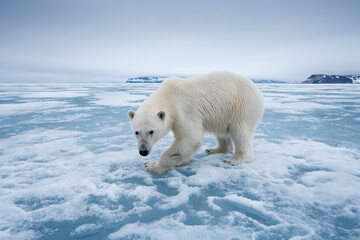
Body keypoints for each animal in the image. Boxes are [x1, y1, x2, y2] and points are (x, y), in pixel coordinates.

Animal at [128, 71, 262, 174]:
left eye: (151, 131)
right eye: (136, 132)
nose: (143, 151)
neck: (167, 96)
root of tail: (256, 88)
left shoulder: (183, 110)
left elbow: (190, 138)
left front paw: (152, 165)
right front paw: (183, 161)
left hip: (242, 106)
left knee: (240, 131)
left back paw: (234, 158)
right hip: (223, 113)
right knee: (222, 131)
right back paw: (214, 149)